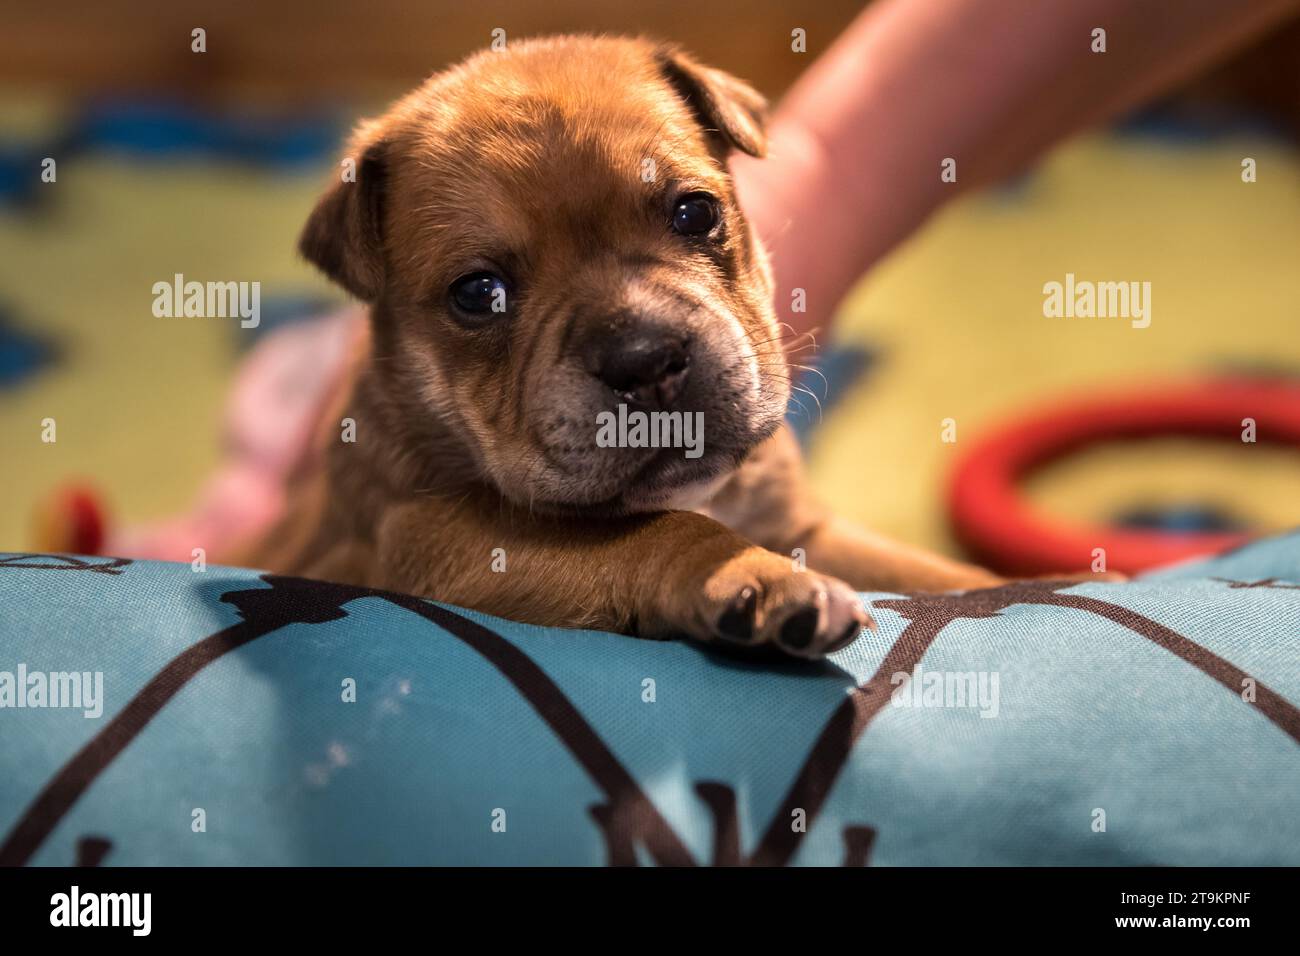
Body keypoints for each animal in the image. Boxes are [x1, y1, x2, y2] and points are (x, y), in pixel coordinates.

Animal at [245, 35, 993, 658]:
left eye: (696, 213)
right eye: (478, 293)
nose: (645, 359)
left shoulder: (805, 527)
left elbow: (927, 570)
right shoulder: (430, 539)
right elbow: (649, 531)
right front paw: (751, 574)